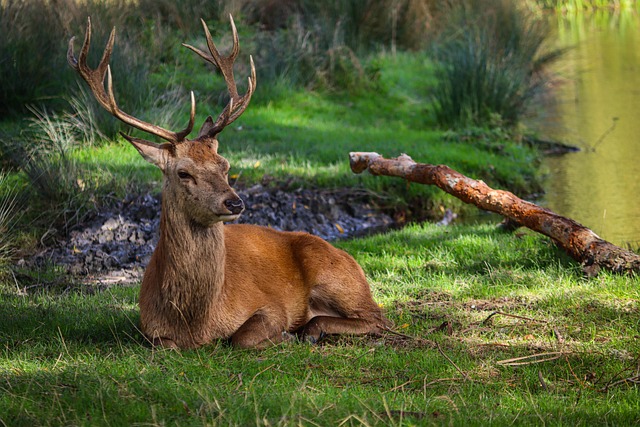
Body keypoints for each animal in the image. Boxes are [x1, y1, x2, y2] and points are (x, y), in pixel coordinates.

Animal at [67, 16, 389, 349]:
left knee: (379, 318)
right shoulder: (150, 328)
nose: (235, 202)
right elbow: (164, 343)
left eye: (225, 165)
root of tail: (351, 260)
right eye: (183, 173)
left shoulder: (272, 305)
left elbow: (241, 337)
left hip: (335, 275)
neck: (197, 323)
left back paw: (312, 330)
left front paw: (285, 335)